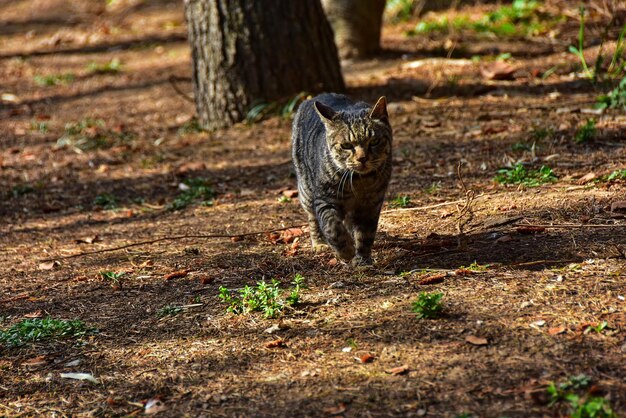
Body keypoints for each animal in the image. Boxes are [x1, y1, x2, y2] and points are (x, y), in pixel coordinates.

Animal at [292, 93, 390, 266]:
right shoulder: (324, 199)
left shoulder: (371, 205)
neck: (359, 182)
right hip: (307, 192)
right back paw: (319, 243)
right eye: (346, 145)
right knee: (313, 218)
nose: (362, 158)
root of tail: (314, 97)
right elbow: (332, 227)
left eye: (374, 141)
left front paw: (363, 259)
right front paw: (346, 251)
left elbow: (365, 234)